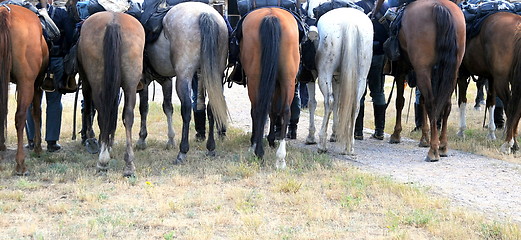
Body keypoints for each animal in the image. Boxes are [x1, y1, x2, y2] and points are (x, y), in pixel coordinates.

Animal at [0, 4, 48, 175]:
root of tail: (5, 13)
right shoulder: (36, 84)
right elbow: (36, 112)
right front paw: (38, 148)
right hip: (26, 83)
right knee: (20, 117)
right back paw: (21, 163)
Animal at [76, 11, 144, 176]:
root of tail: (113, 21)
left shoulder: (86, 83)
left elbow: (88, 109)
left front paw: (93, 138)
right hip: (131, 83)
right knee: (128, 116)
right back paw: (129, 164)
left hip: (96, 82)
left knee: (102, 113)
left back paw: (102, 159)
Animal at [239, 7, 296, 169]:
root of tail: (271, 16)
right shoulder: (276, 83)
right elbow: (273, 110)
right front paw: (270, 139)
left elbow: (265, 110)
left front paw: (257, 142)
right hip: (288, 78)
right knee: (285, 110)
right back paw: (280, 158)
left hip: (254, 80)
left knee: (258, 109)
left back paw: (257, 150)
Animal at [374, 0, 464, 162]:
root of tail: (440, 7)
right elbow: (420, 102)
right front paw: (424, 138)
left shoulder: (402, 69)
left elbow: (399, 101)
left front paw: (396, 134)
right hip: (451, 72)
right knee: (445, 105)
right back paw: (442, 146)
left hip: (423, 70)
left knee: (431, 103)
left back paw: (433, 150)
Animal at [458, 11, 520, 154]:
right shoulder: (491, 78)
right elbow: (491, 103)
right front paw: (491, 134)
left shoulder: (461, 75)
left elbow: (462, 101)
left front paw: (461, 131)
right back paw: (513, 144)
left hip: (502, 81)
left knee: (510, 107)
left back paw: (508, 143)